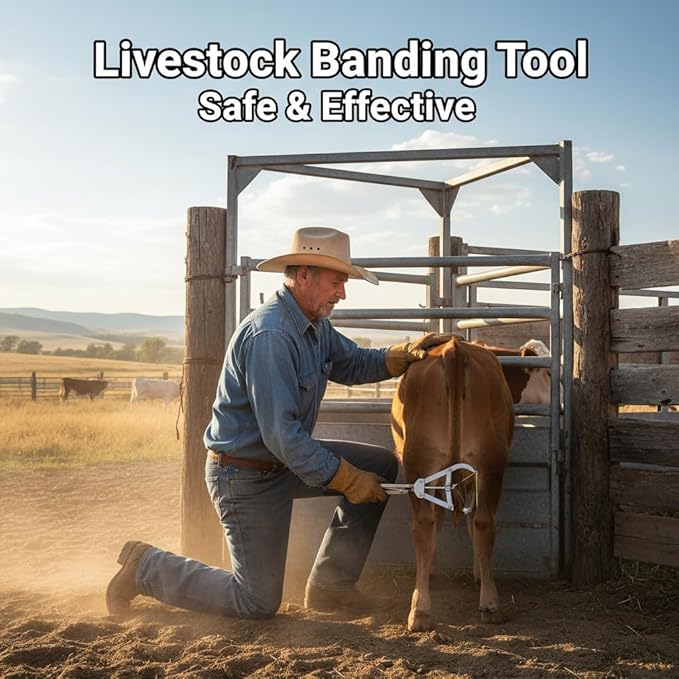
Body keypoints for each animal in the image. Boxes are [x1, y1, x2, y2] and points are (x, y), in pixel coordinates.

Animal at [391, 337, 515, 632]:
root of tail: (453, 348)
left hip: (422, 464)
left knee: (428, 525)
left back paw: (421, 610)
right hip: (488, 465)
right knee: (481, 523)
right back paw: (487, 603)